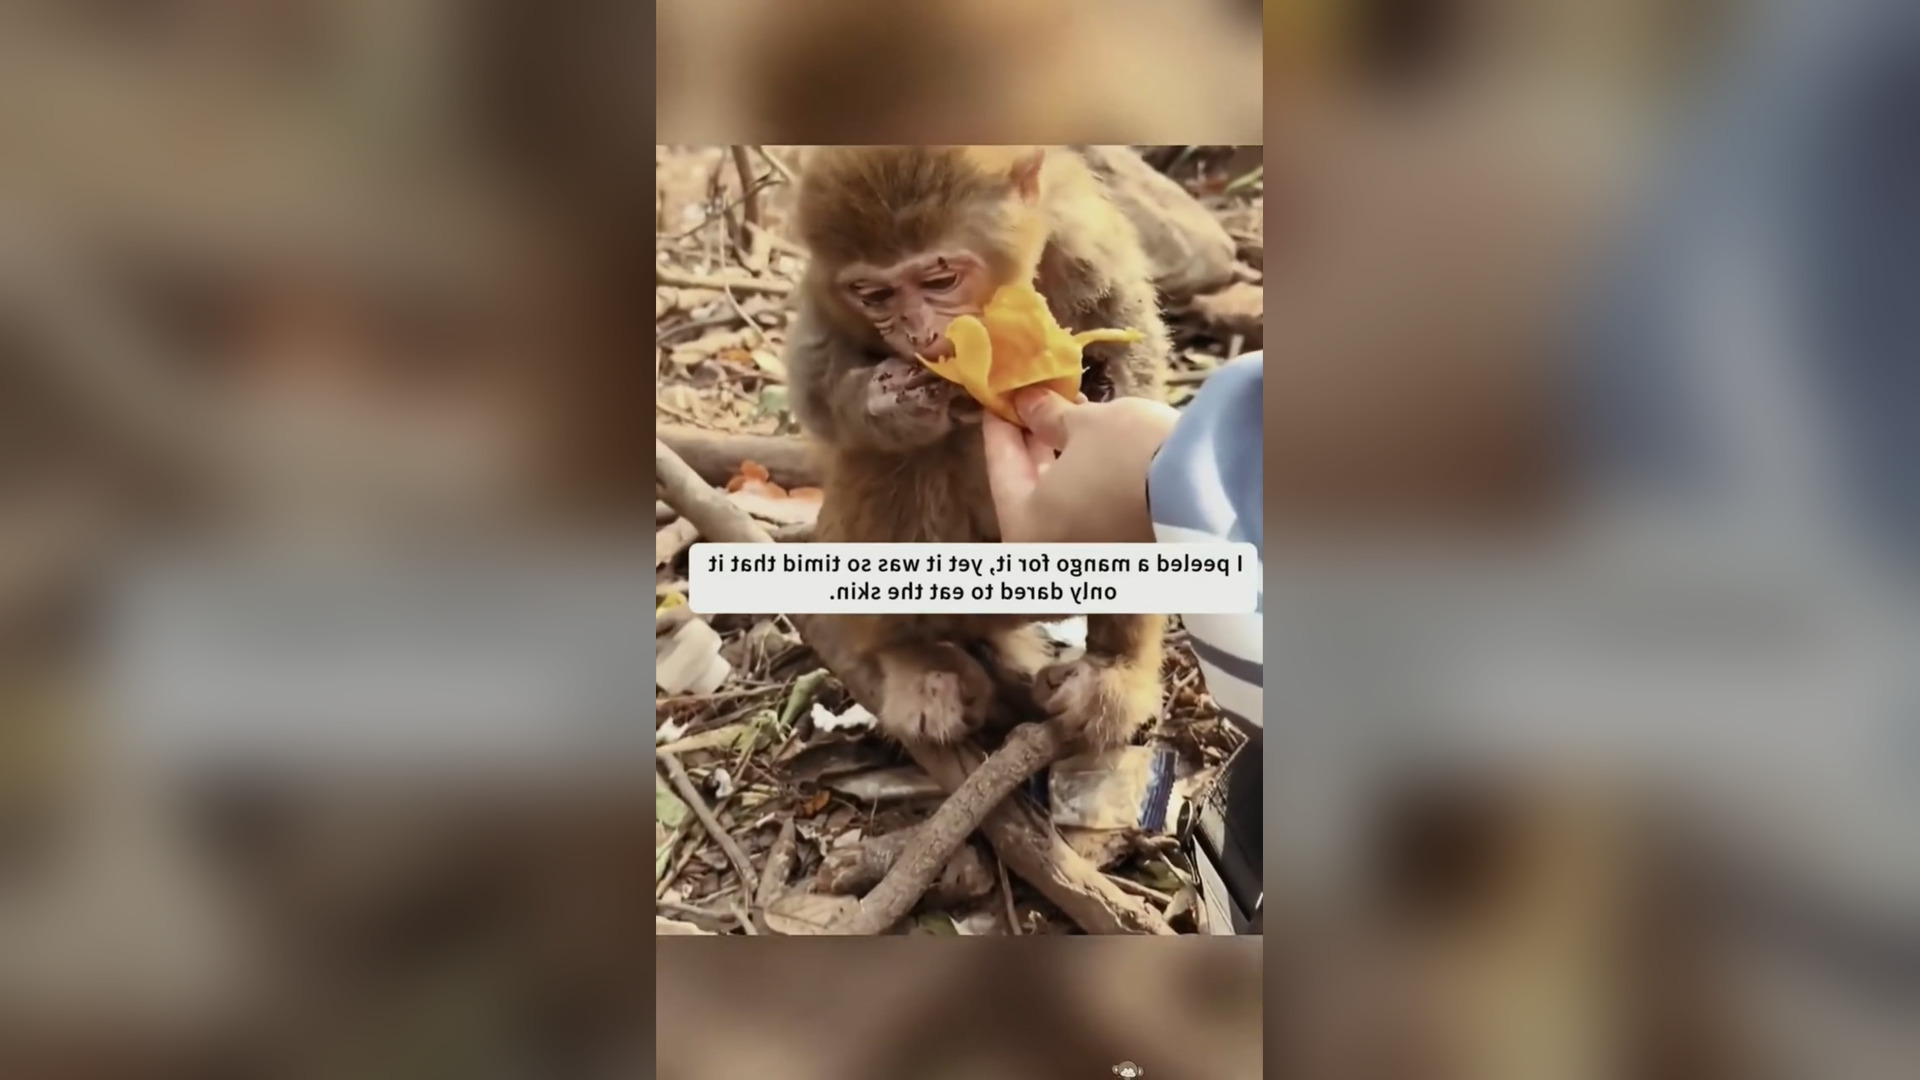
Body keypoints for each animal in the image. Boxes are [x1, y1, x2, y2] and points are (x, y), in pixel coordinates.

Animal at [785, 146, 1171, 752]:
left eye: (940, 279)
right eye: (874, 295)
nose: (918, 335)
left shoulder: (1083, 241)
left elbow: (1129, 334)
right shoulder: (822, 294)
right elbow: (813, 378)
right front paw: (885, 403)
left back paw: (1115, 666)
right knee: (890, 461)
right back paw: (914, 655)